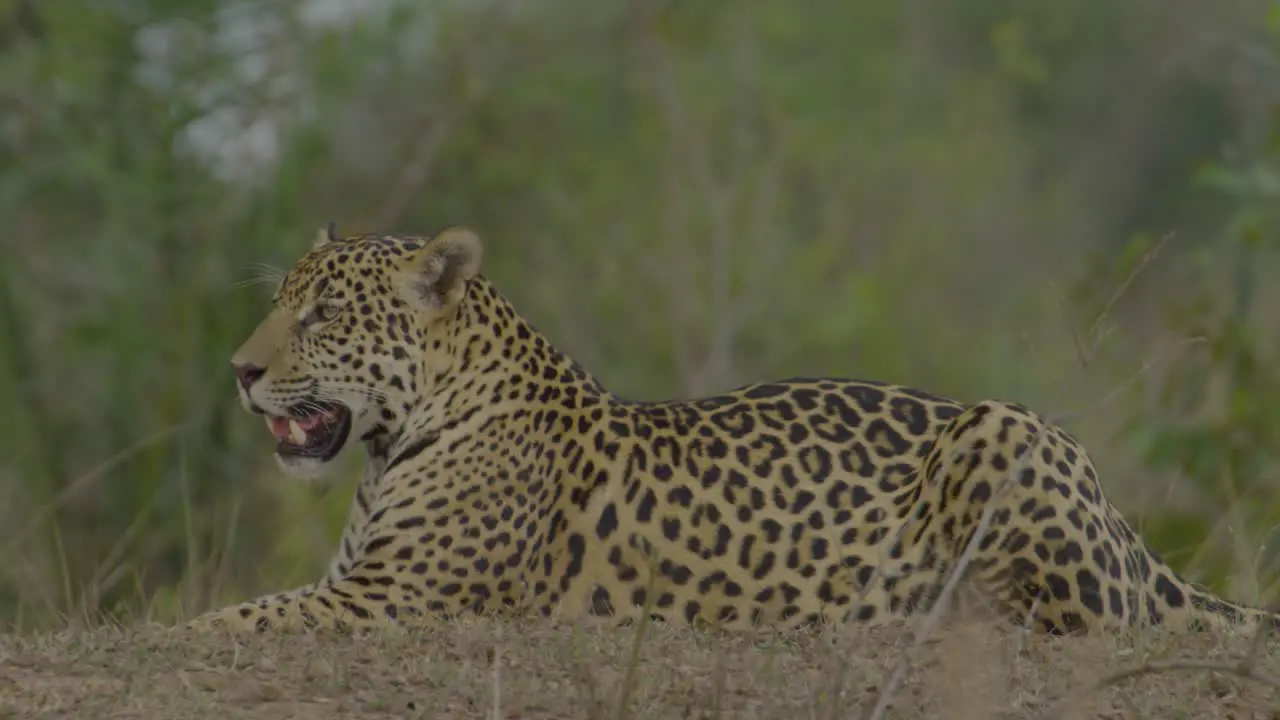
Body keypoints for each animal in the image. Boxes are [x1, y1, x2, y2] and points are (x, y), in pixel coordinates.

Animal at [186, 222, 1280, 632]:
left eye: (323, 314)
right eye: (282, 304)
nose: (238, 371)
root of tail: (1127, 526)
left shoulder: (392, 600)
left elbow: (229, 618)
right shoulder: (360, 587)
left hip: (1001, 431)